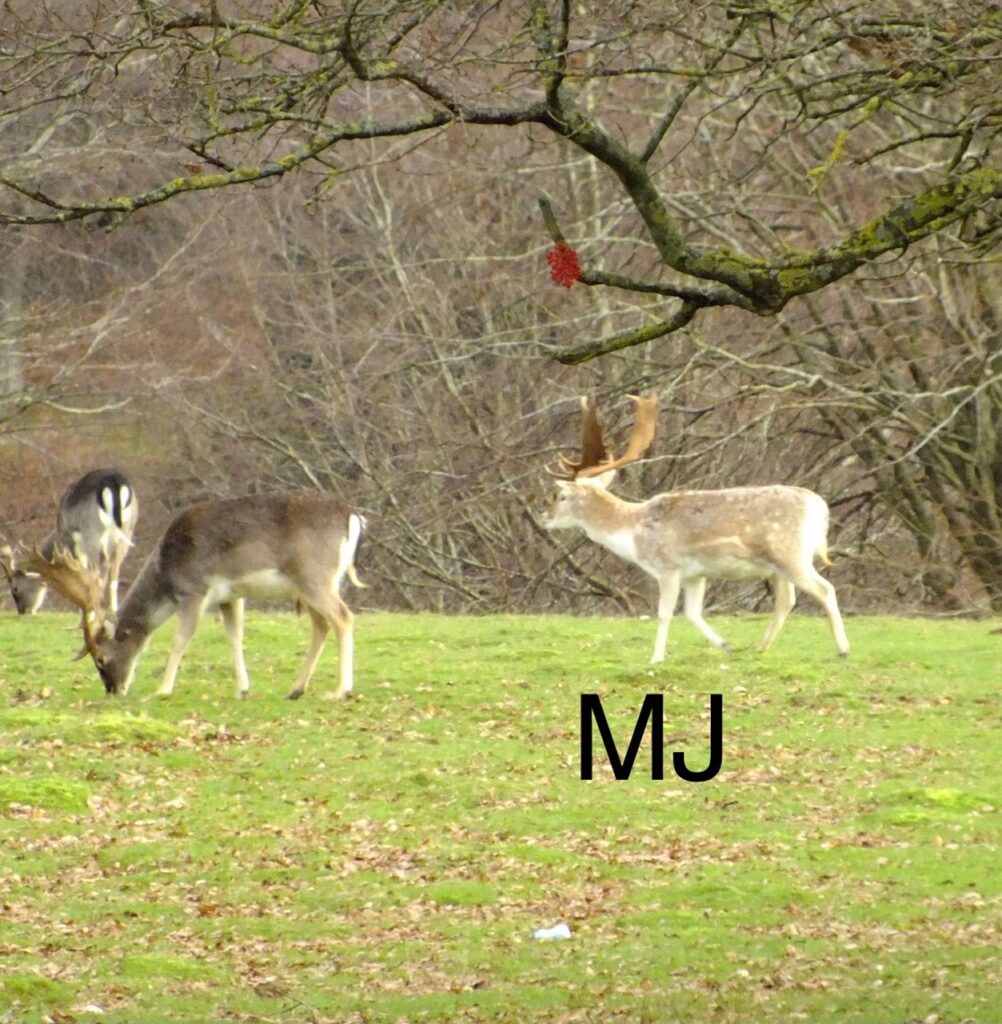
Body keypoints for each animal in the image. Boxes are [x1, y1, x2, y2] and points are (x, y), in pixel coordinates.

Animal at [1, 468, 137, 616]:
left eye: (15, 588)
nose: (22, 611)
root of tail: (115, 482)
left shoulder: (72, 540)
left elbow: (80, 571)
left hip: (92, 531)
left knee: (97, 571)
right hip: (127, 530)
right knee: (113, 571)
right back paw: (112, 611)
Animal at [28, 492, 365, 700]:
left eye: (101, 658)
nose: (114, 690)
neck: (166, 571)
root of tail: (353, 516)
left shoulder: (194, 589)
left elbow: (180, 639)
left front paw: (163, 689)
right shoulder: (231, 596)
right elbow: (235, 638)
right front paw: (243, 689)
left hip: (314, 576)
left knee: (343, 618)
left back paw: (341, 690)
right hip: (314, 583)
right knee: (322, 625)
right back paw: (296, 689)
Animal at [543, 395, 850, 662]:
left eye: (560, 496)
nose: (545, 517)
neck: (633, 532)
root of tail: (819, 506)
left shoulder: (668, 566)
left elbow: (665, 613)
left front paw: (656, 658)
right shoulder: (696, 573)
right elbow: (692, 612)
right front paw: (726, 645)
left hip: (789, 553)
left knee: (824, 589)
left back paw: (843, 649)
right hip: (779, 565)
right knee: (787, 600)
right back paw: (760, 647)